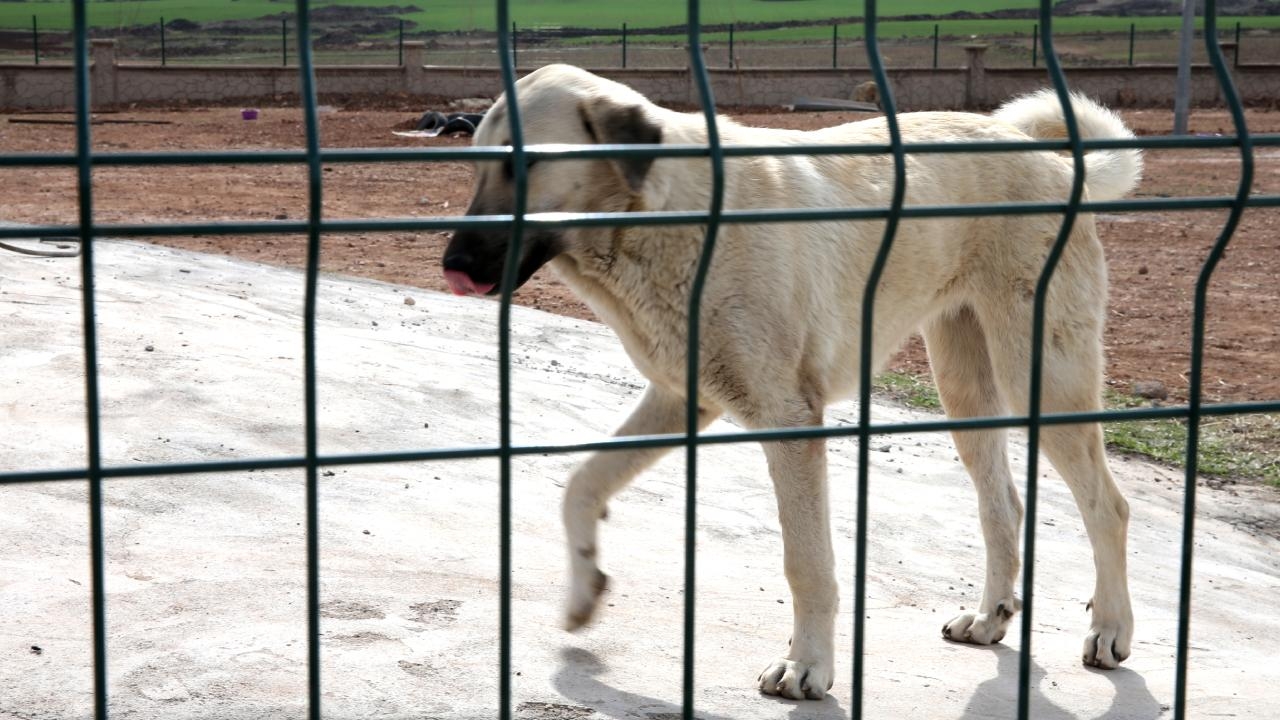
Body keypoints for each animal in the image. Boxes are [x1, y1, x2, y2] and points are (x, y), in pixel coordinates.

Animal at [442, 64, 1141, 696]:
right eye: (477, 166)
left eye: (525, 166)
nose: (451, 264)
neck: (664, 215)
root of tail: (1048, 159)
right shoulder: (681, 399)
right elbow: (581, 484)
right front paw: (584, 590)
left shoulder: (789, 420)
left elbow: (807, 564)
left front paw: (808, 667)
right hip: (966, 388)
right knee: (1003, 505)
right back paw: (990, 616)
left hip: (1041, 376)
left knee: (1107, 506)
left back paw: (1111, 630)